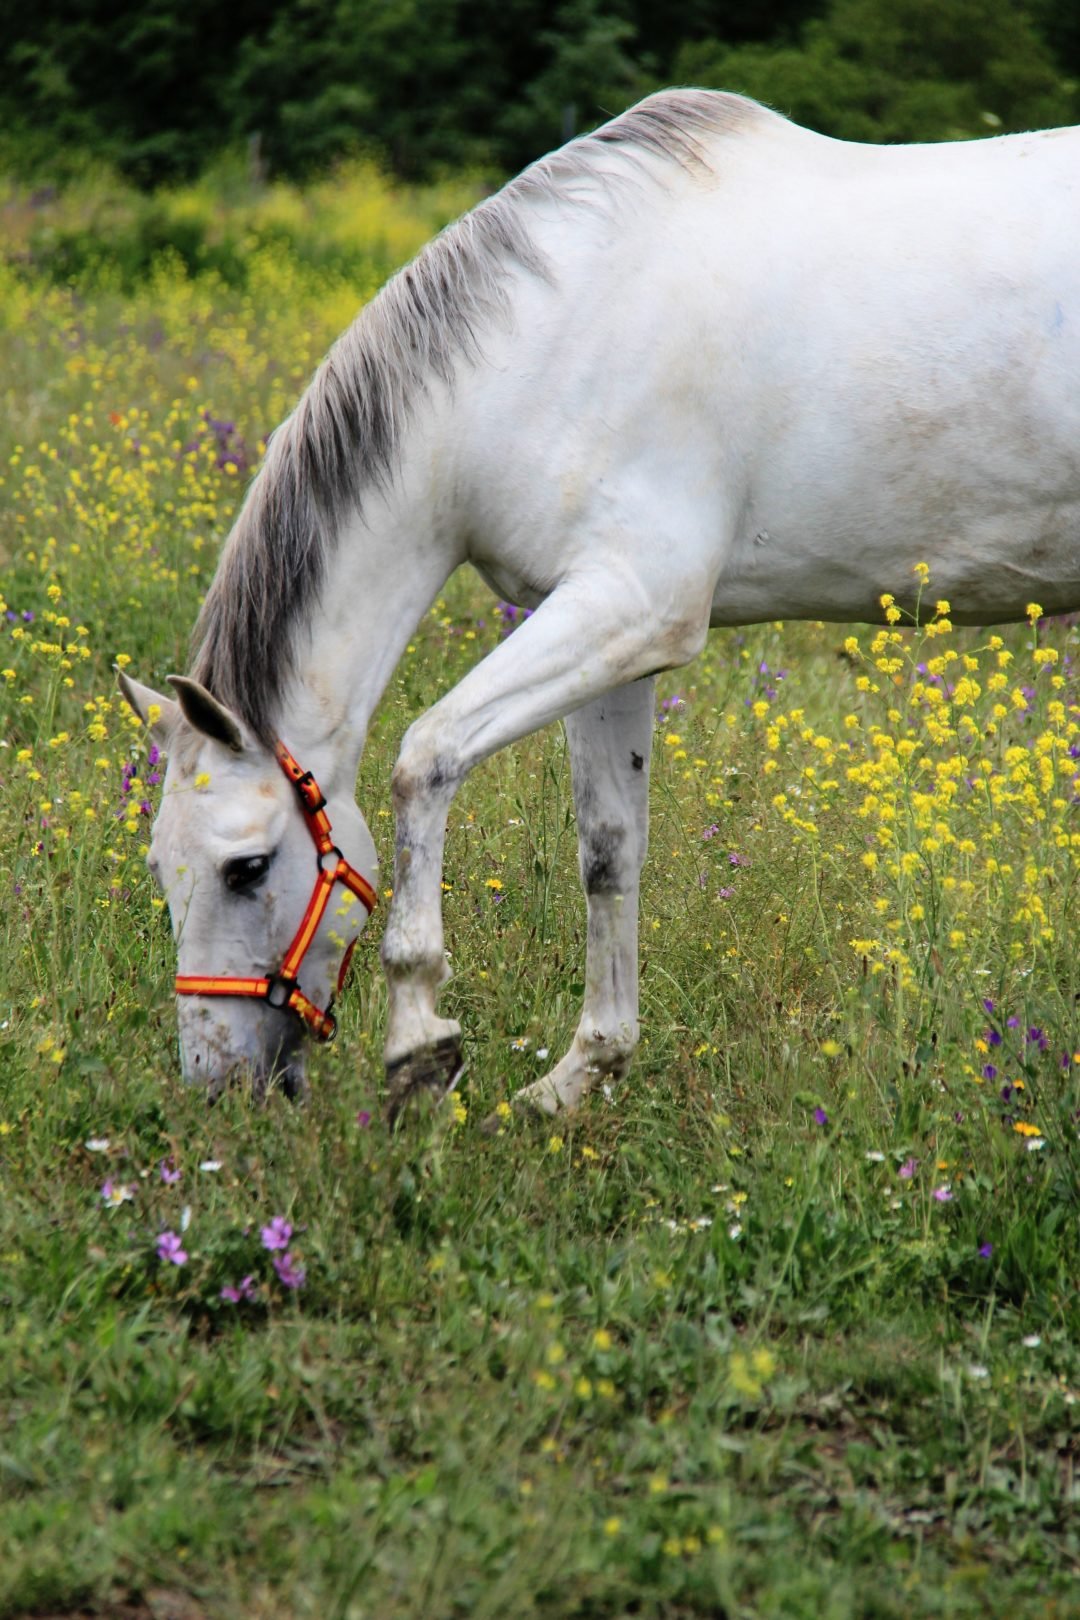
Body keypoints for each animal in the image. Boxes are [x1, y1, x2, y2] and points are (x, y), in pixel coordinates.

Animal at [119, 87, 1080, 1119]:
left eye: (248, 866)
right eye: (161, 869)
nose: (218, 1085)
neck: (551, 343)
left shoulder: (634, 604)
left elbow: (424, 760)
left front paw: (420, 1045)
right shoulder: (605, 633)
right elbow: (609, 850)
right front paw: (580, 1077)